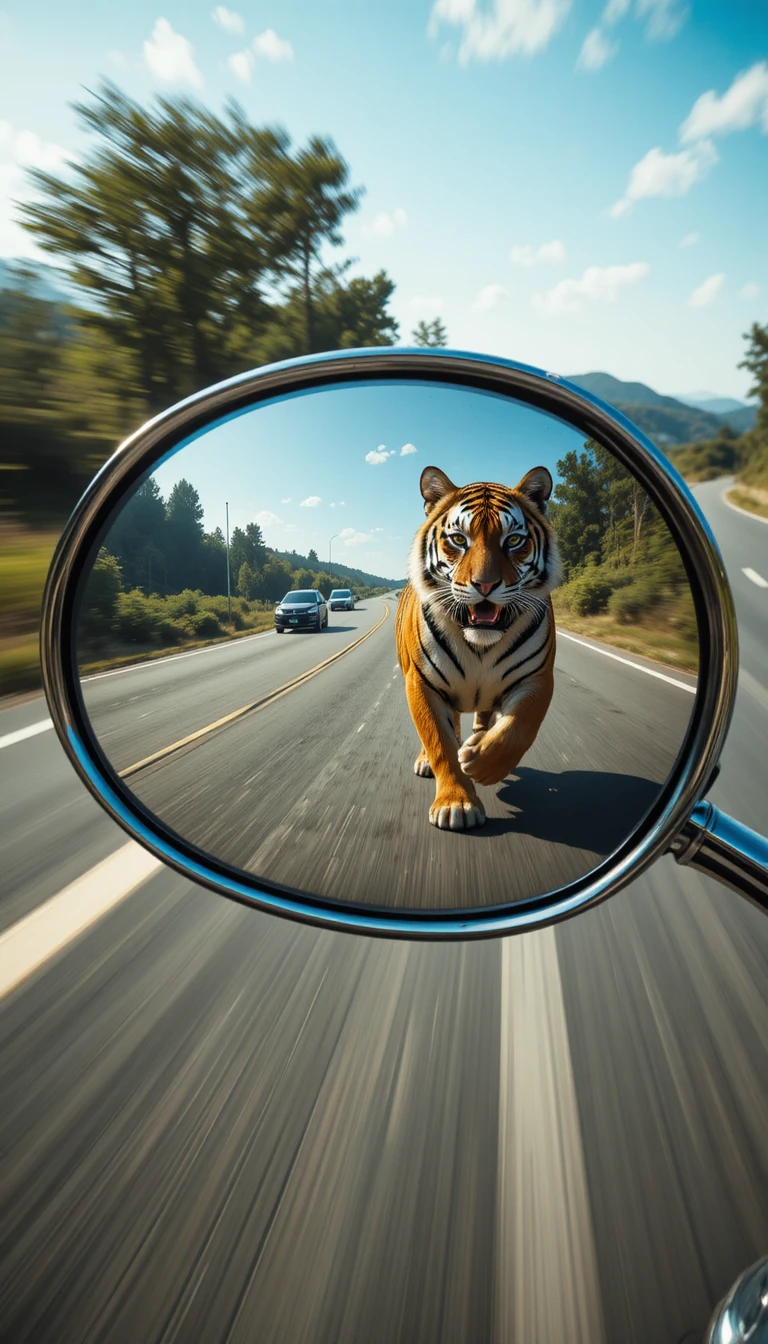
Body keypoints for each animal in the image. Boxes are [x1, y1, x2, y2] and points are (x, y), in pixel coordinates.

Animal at [395, 464, 561, 830]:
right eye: (459, 540)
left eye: (513, 541)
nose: (485, 585)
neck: (480, 644)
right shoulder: (422, 682)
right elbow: (440, 741)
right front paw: (456, 803)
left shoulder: (537, 678)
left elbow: (518, 729)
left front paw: (480, 763)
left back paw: (476, 740)